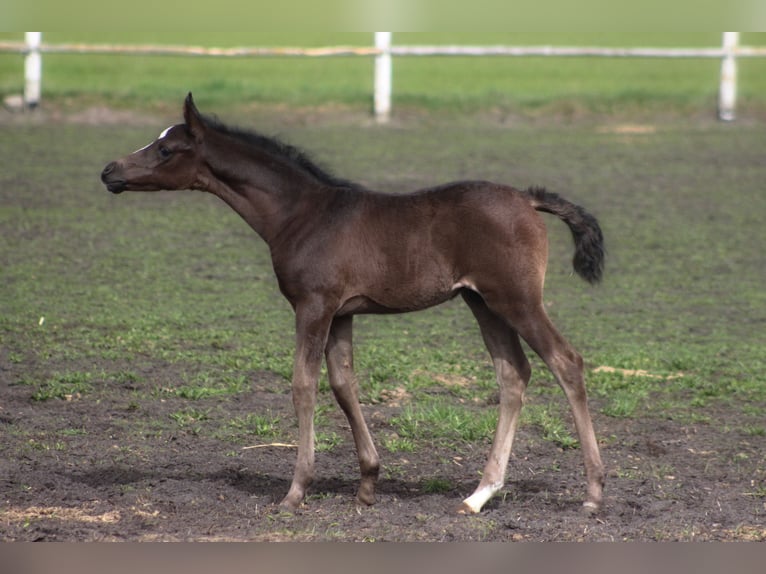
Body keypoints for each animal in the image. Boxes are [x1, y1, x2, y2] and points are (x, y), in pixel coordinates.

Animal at [100, 94, 608, 516]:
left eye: (166, 149)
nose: (109, 171)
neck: (301, 215)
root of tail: (528, 199)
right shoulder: (342, 313)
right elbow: (344, 385)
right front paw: (366, 486)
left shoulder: (313, 306)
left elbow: (303, 386)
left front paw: (296, 491)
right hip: (482, 302)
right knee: (513, 375)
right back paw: (479, 495)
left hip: (516, 298)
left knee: (566, 362)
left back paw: (592, 492)